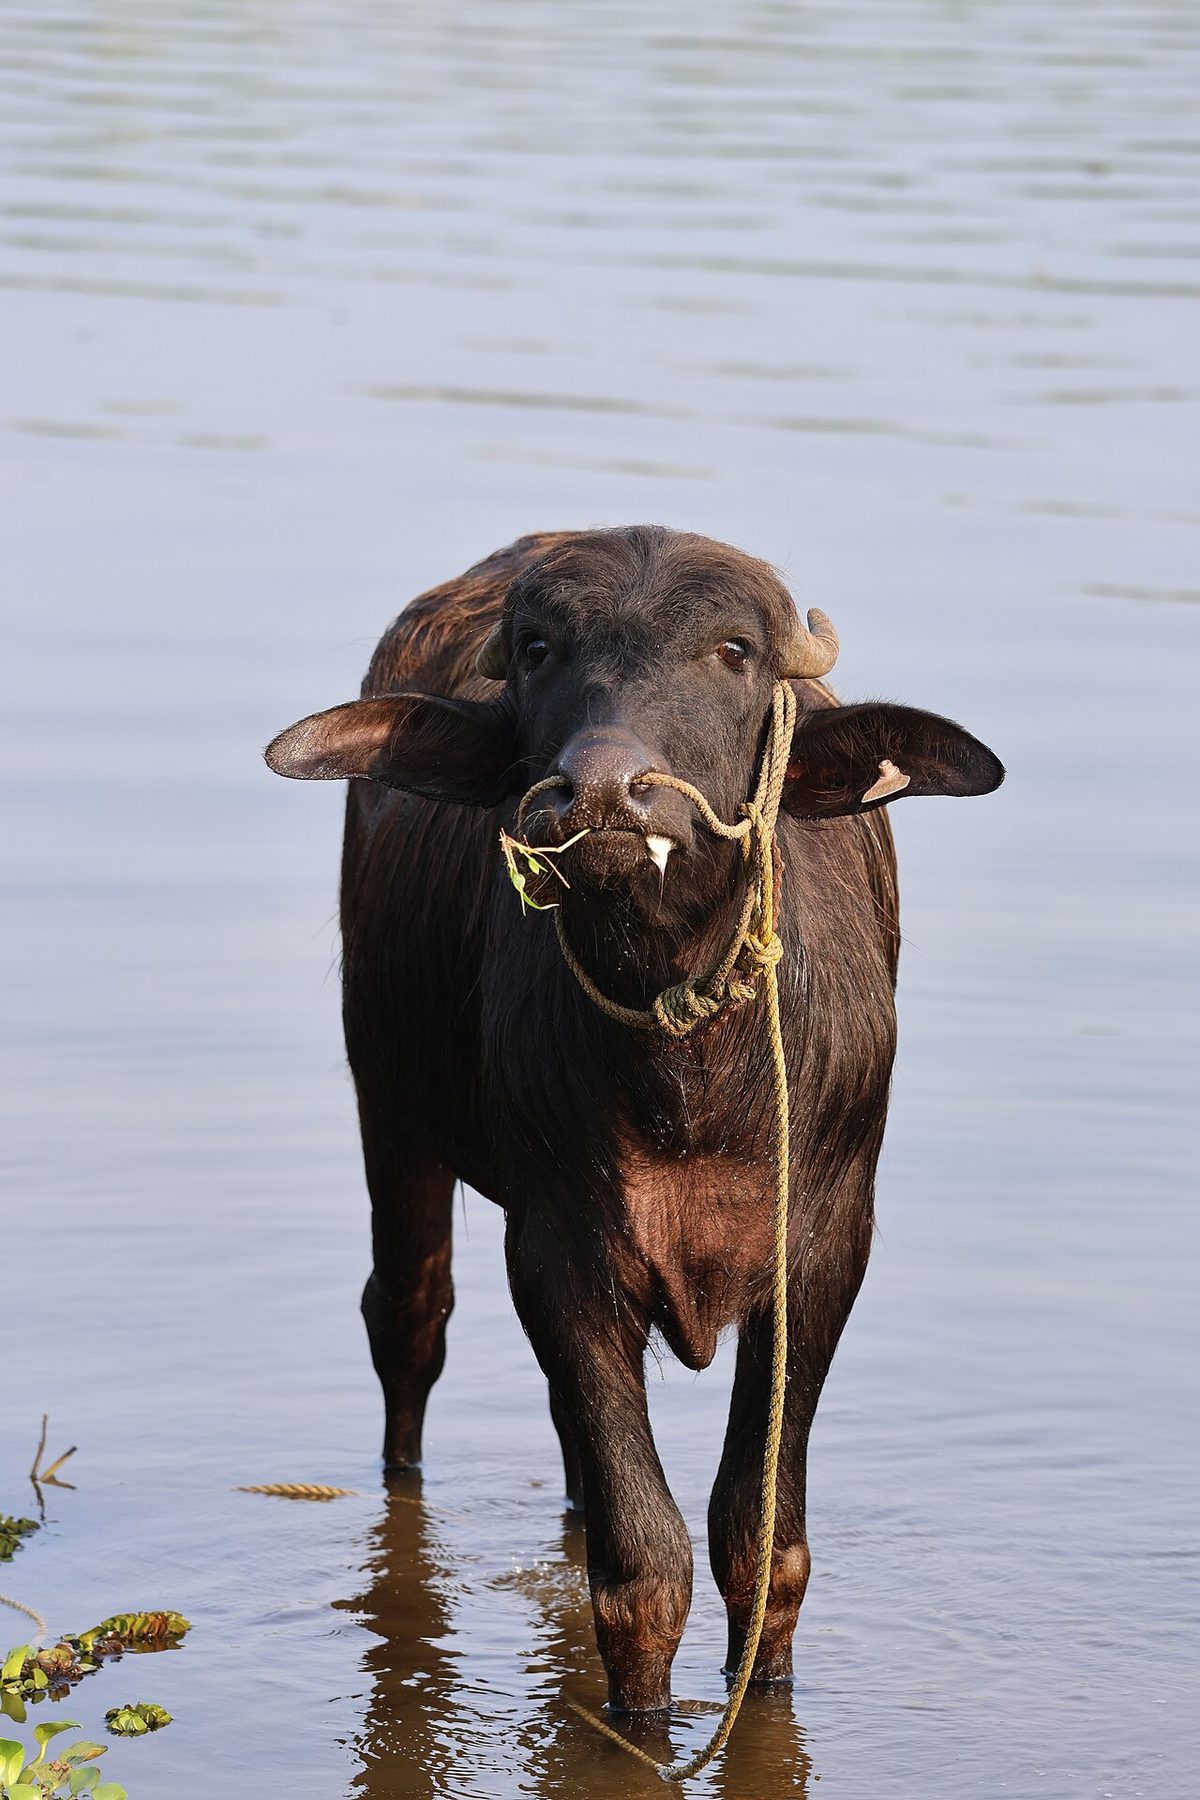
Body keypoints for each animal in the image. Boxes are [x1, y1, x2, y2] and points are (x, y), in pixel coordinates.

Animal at [266, 525, 1003, 1714]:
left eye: (734, 651)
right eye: (537, 650)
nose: (606, 790)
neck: (685, 1075)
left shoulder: (826, 1248)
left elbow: (761, 1541)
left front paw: (761, 1685)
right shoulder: (559, 1249)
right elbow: (642, 1562)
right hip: (387, 1100)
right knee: (409, 1320)